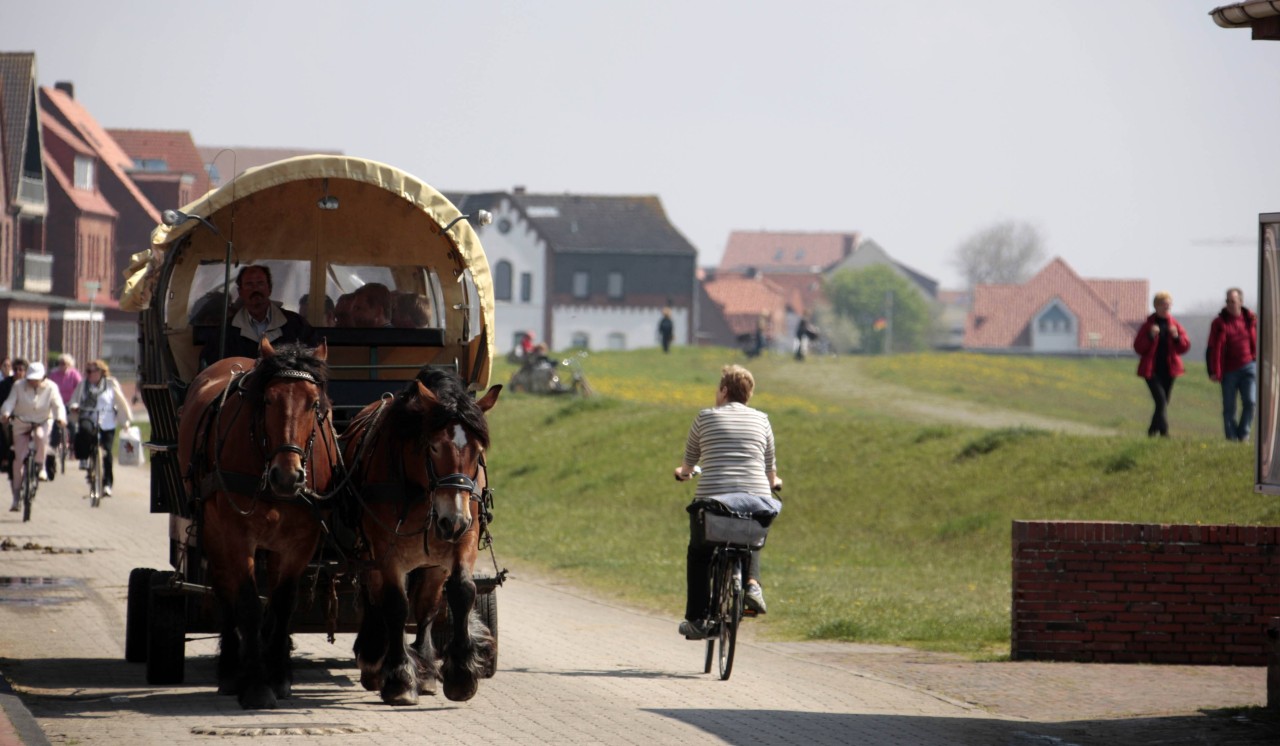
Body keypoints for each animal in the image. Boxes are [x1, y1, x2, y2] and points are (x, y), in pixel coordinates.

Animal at [177, 340, 345, 711]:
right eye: (268, 400)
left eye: (314, 403)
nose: (288, 475)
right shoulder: (237, 537)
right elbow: (250, 606)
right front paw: (255, 685)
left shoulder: (300, 542)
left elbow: (282, 605)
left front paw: (279, 675)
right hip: (212, 529)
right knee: (224, 590)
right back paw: (230, 670)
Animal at [343, 368, 501, 706]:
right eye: (434, 447)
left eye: (478, 451)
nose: (453, 520)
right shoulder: (385, 550)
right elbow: (395, 604)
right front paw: (399, 678)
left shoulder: (463, 539)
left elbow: (460, 591)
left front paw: (461, 675)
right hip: (368, 552)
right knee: (373, 594)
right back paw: (374, 656)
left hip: (431, 560)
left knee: (427, 605)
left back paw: (426, 668)